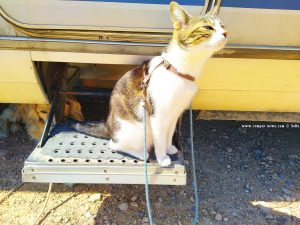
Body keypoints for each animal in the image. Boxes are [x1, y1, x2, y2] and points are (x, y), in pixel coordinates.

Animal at [75, 1, 227, 167]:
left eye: (222, 26)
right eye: (208, 27)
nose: (226, 33)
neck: (178, 69)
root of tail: (108, 125)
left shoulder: (174, 115)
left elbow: (168, 135)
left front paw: (169, 148)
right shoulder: (158, 116)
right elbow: (160, 139)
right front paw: (162, 158)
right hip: (136, 131)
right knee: (114, 144)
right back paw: (142, 154)